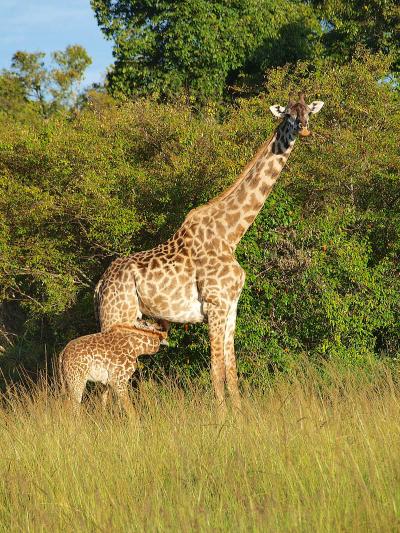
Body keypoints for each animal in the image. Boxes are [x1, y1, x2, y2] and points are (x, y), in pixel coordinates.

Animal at [95, 93, 324, 416]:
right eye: (288, 115)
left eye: (307, 113)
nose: (303, 128)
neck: (231, 235)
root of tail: (99, 286)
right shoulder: (215, 305)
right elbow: (216, 368)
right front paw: (222, 417)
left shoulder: (231, 307)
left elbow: (231, 368)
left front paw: (239, 415)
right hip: (116, 314)